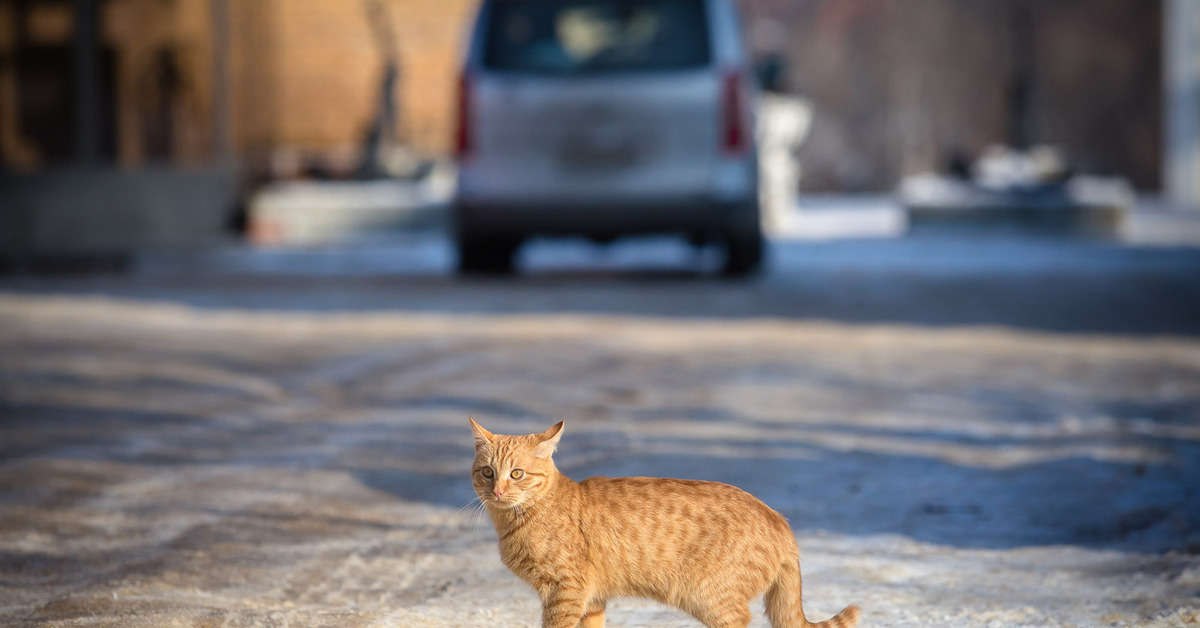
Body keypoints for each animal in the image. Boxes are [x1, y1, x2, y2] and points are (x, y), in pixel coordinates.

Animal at [468, 417, 864, 628]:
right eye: (487, 472)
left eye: (517, 474)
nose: (497, 491)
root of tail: (778, 516)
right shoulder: (591, 599)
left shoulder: (564, 592)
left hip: (713, 599)